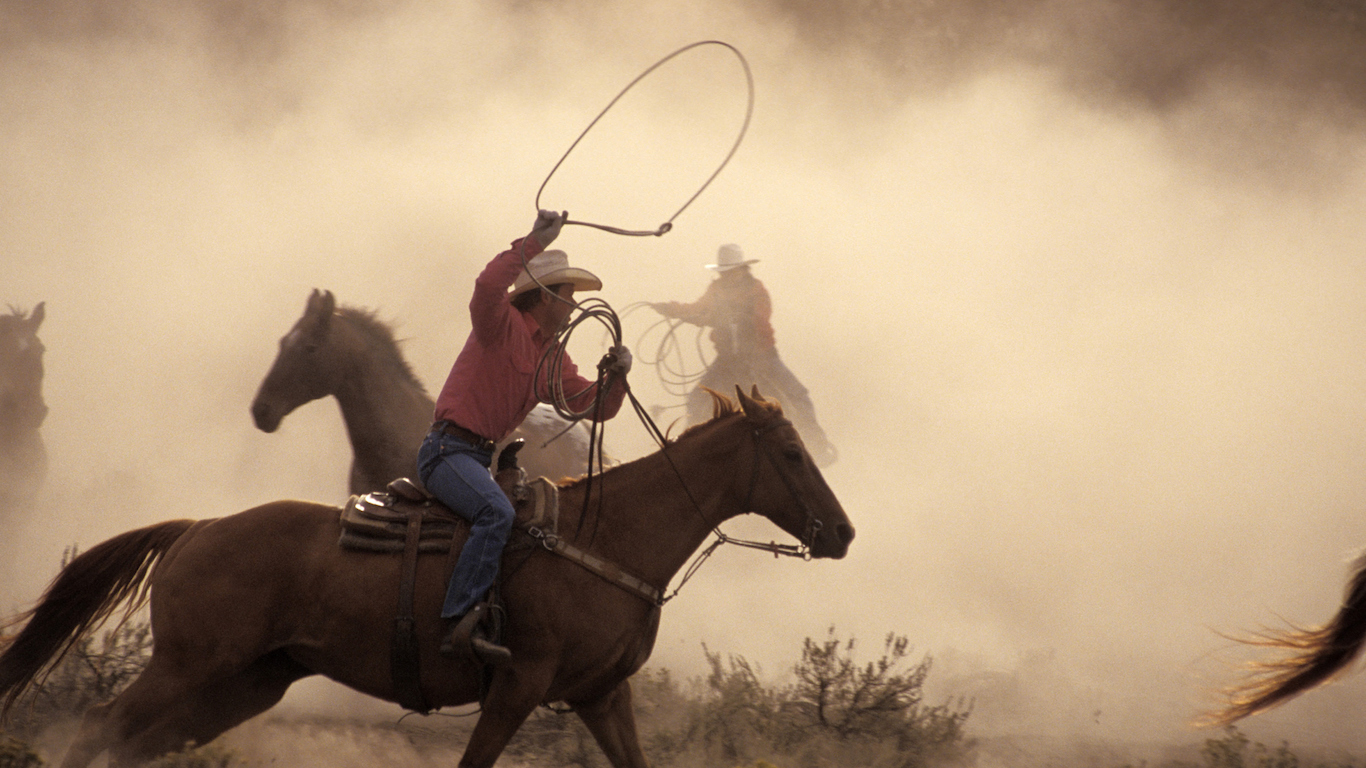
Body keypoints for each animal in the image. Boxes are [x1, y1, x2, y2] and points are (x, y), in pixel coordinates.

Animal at [0, 388, 852, 765]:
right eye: (790, 454)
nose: (842, 533)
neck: (605, 539)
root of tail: (198, 529)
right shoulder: (518, 684)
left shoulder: (602, 695)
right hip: (186, 667)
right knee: (100, 726)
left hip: (244, 683)